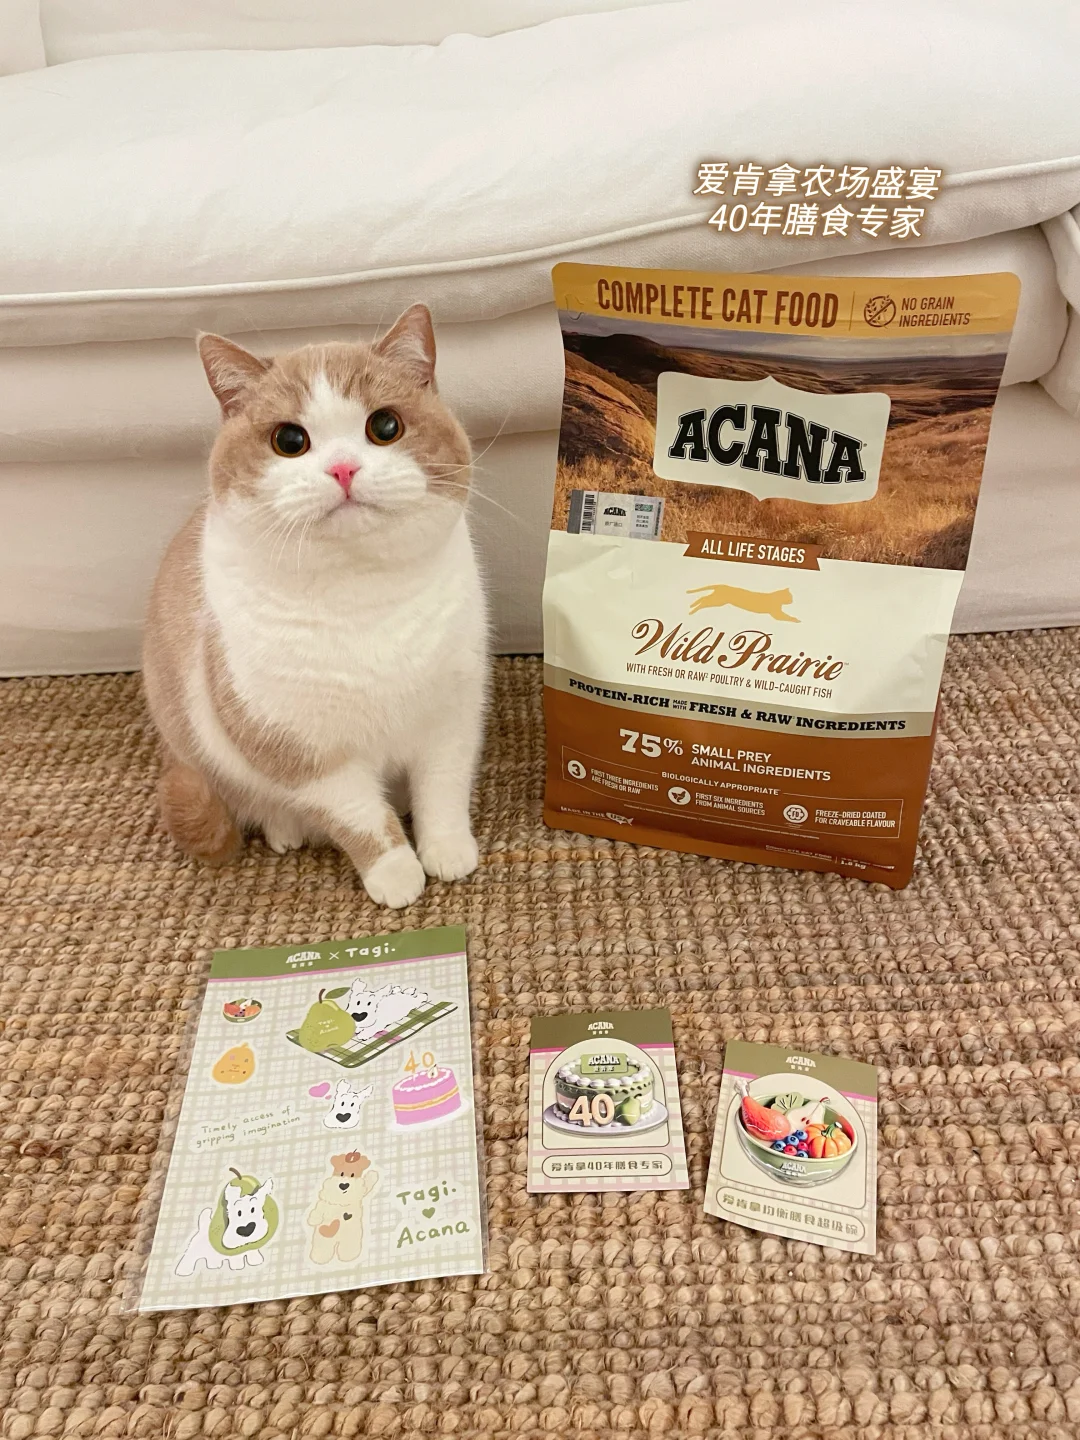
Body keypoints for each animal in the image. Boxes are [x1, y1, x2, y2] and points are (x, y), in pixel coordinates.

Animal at [142, 304, 488, 908]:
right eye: (289, 439)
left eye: (385, 427)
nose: (344, 469)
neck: (362, 596)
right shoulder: (301, 750)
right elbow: (359, 817)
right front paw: (396, 872)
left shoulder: (452, 714)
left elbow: (443, 788)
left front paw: (446, 848)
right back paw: (286, 829)